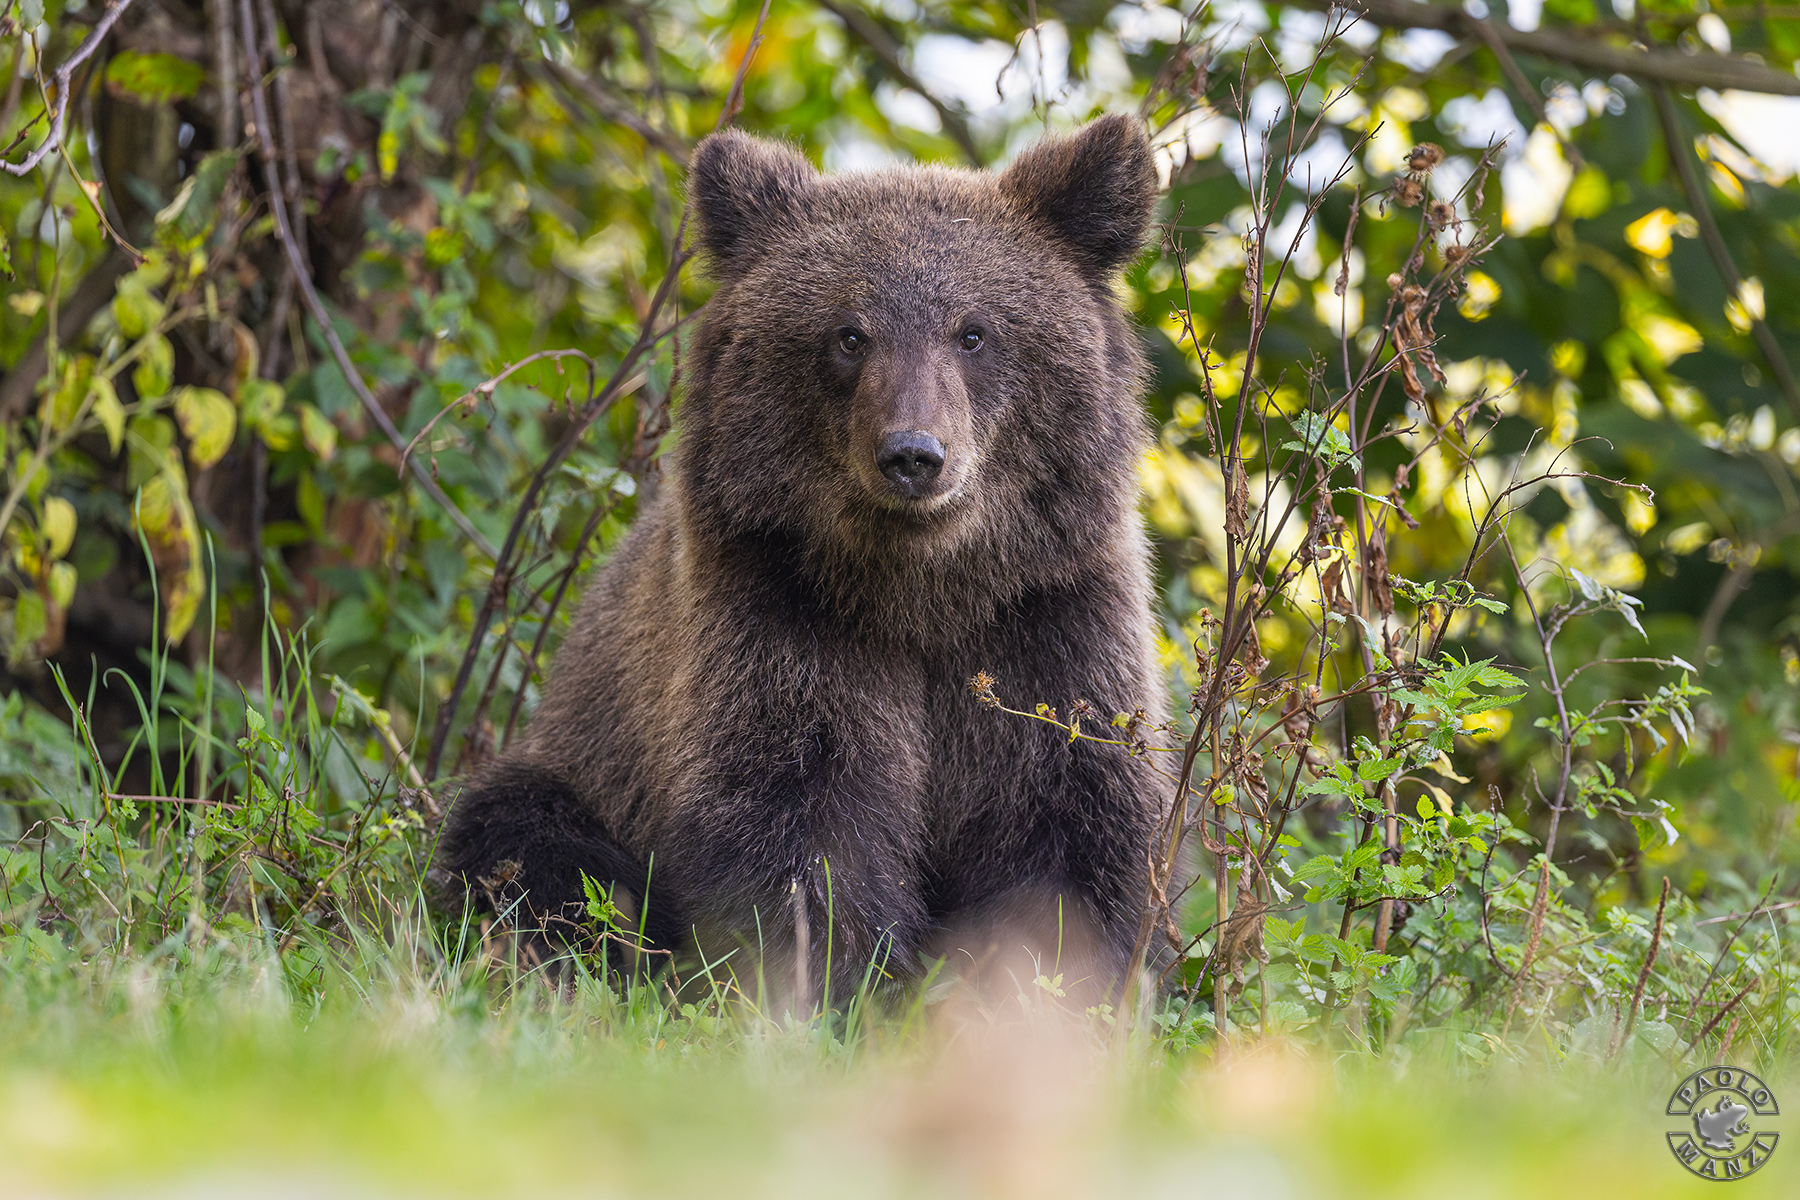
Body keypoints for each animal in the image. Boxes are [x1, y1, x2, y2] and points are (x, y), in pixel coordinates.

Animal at [440, 113, 1169, 1006]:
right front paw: (832, 987)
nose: (913, 454)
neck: (923, 591)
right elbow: (800, 814)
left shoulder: (1046, 616)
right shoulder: (779, 609)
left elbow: (1065, 822)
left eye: (974, 331)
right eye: (849, 334)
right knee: (525, 840)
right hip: (579, 763)